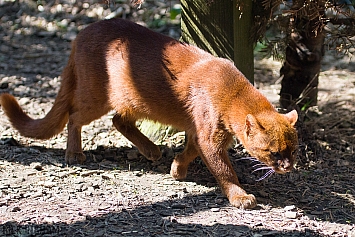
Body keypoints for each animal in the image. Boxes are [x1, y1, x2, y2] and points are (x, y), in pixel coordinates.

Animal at [0, 18, 298, 208]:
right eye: (273, 152)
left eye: (293, 150)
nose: (288, 166)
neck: (234, 92)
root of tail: (81, 34)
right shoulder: (210, 136)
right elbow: (225, 170)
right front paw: (240, 197)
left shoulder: (202, 132)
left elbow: (191, 150)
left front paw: (177, 169)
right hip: (97, 96)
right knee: (75, 116)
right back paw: (75, 153)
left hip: (135, 101)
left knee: (118, 120)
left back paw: (152, 150)